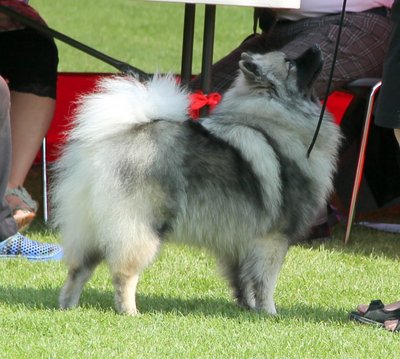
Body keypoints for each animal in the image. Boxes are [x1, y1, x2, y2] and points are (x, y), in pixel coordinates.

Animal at [52, 45, 340, 318]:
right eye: (290, 63)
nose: (316, 48)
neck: (275, 119)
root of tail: (104, 145)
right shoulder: (272, 239)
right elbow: (265, 282)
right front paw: (269, 313)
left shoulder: (240, 239)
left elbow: (244, 280)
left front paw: (247, 306)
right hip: (140, 228)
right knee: (124, 273)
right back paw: (130, 312)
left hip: (90, 227)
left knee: (78, 269)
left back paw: (68, 306)